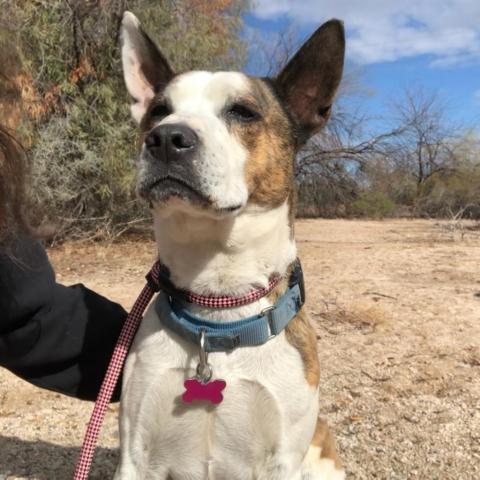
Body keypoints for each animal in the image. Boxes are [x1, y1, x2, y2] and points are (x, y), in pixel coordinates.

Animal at [116, 11, 344, 480]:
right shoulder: (134, 455)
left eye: (242, 111)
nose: (165, 138)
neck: (217, 311)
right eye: (158, 111)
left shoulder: (282, 460)